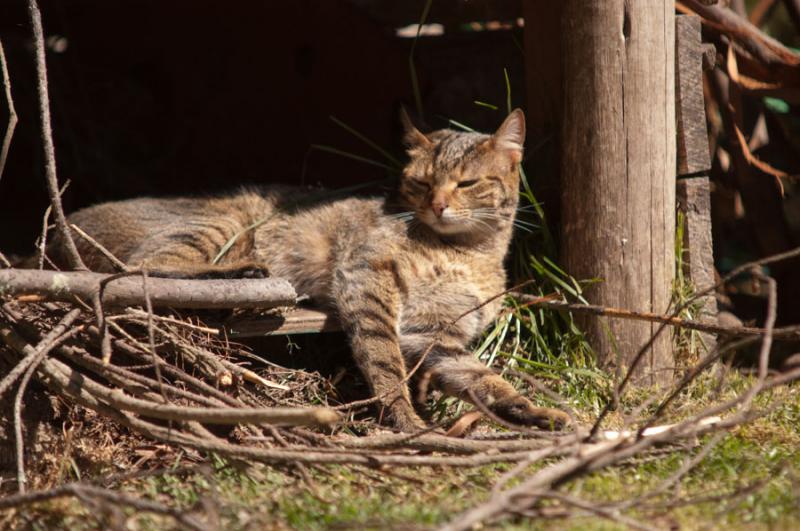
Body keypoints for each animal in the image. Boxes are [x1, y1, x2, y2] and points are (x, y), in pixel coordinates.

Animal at [50, 109, 572, 432]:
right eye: (422, 183)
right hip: (219, 223)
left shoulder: (436, 334)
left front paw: (530, 410)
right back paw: (242, 275)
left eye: (466, 183)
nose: (438, 205)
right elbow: (384, 363)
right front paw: (404, 418)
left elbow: (483, 378)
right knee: (143, 271)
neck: (468, 252)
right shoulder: (367, 277)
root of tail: (61, 227)